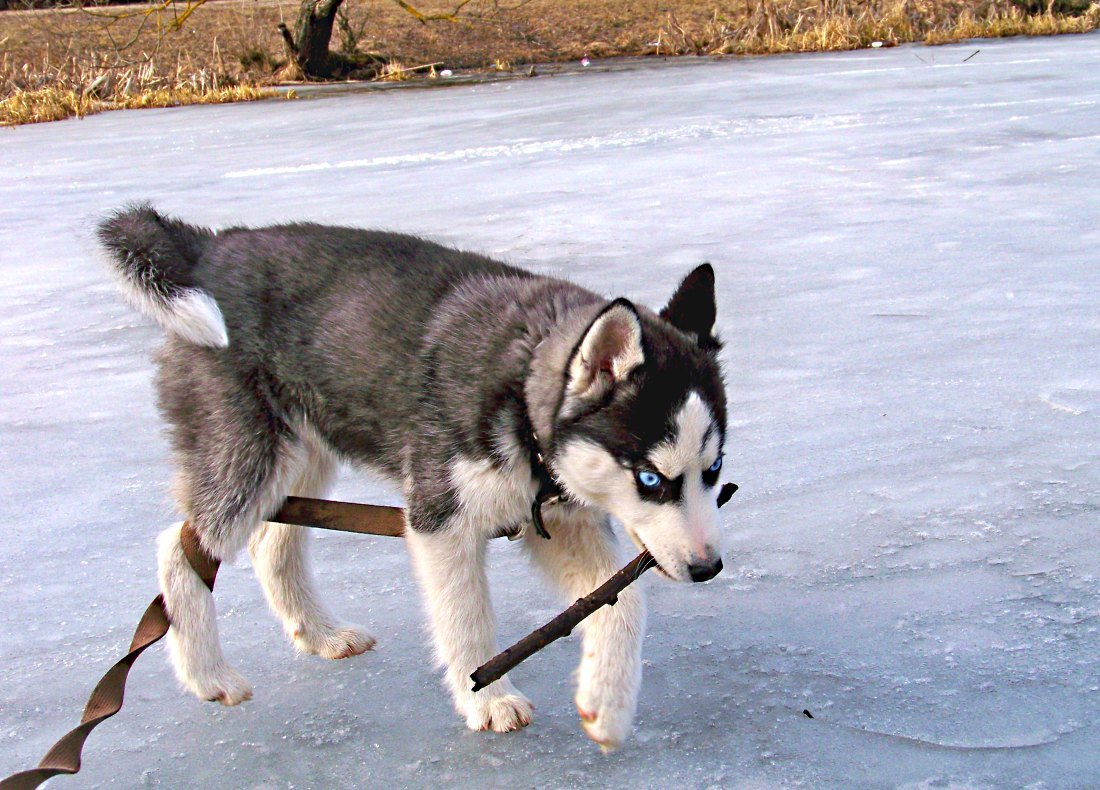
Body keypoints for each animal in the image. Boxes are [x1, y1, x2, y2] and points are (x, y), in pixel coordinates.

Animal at [96, 204, 730, 748]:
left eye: (715, 469)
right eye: (651, 480)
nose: (708, 569)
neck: (519, 386)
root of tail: (209, 245)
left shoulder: (554, 520)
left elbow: (622, 602)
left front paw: (608, 704)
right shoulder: (439, 519)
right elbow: (466, 621)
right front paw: (487, 699)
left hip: (302, 456)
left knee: (273, 544)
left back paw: (320, 634)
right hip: (248, 456)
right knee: (181, 549)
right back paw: (208, 675)